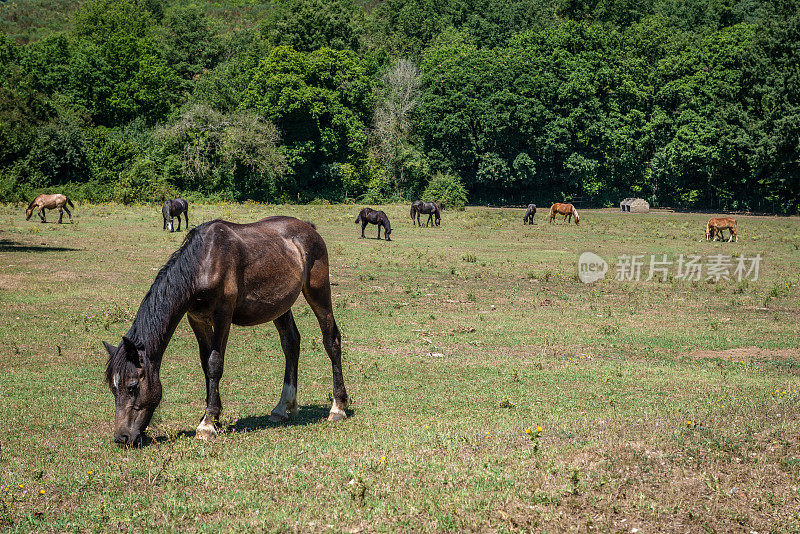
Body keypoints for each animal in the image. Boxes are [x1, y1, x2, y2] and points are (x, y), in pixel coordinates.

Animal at [102, 217, 346, 448]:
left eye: (133, 386)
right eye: (113, 389)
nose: (122, 438)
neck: (203, 264)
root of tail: (309, 228)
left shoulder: (223, 316)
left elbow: (214, 364)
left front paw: (208, 424)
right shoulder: (196, 319)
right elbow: (205, 364)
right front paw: (214, 415)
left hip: (318, 291)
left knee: (331, 340)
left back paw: (338, 407)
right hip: (280, 306)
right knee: (291, 343)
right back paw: (284, 406)